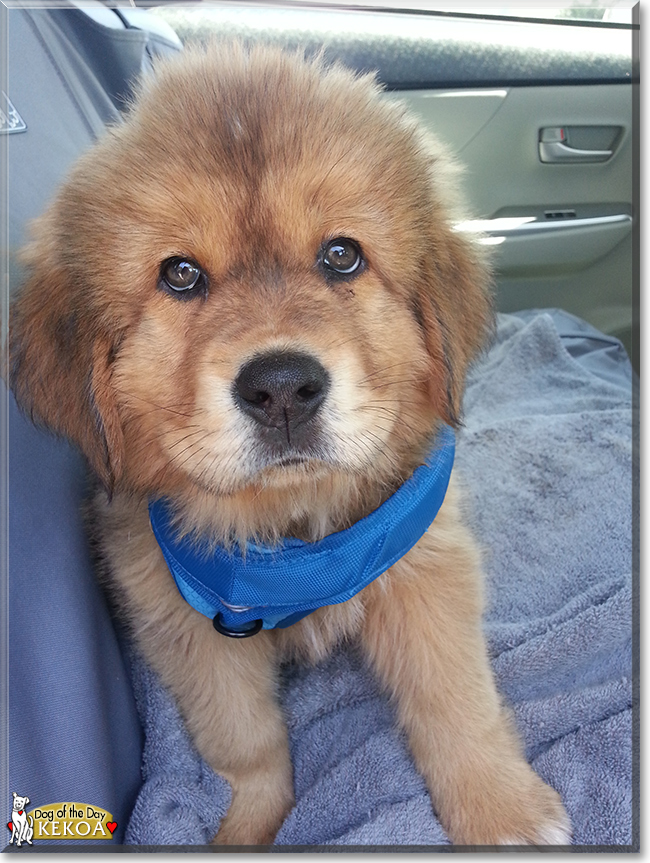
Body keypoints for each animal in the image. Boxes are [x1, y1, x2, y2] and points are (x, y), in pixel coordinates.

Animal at [10, 44, 568, 848]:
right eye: (180, 274)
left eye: (341, 255)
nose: (281, 389)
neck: (294, 529)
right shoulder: (183, 617)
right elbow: (244, 743)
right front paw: (247, 827)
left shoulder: (426, 566)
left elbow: (455, 696)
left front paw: (501, 807)